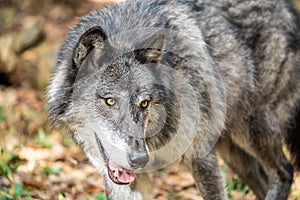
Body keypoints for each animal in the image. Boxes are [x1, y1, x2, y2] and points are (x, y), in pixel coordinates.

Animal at [47, 0, 300, 198]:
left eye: (144, 103)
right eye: (110, 101)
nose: (139, 159)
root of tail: (287, 7)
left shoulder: (201, 157)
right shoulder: (123, 181)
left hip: (252, 131)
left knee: (285, 172)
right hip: (235, 153)